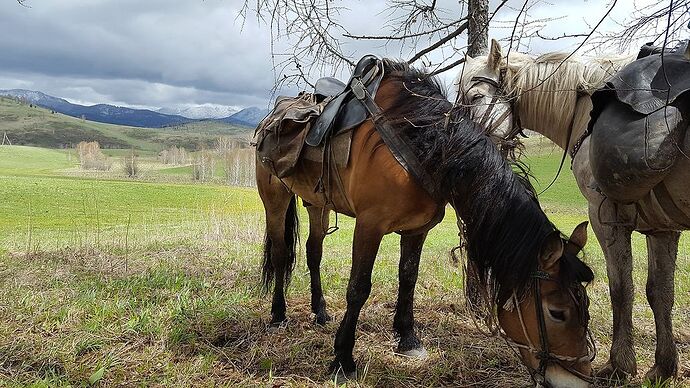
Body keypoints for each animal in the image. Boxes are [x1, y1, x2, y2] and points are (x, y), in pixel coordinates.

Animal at [258, 59, 596, 386]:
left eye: (586, 306)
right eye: (557, 313)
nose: (576, 381)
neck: (426, 144)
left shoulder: (417, 230)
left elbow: (408, 278)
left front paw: (408, 339)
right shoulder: (369, 226)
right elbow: (358, 288)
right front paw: (342, 359)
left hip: (318, 204)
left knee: (313, 251)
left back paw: (320, 311)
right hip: (274, 198)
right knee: (280, 253)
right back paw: (277, 315)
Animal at [456, 38, 688, 382]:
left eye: (475, 98)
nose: (463, 145)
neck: (586, 110)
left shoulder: (606, 219)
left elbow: (622, 290)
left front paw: (619, 365)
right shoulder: (661, 227)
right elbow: (660, 293)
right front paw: (662, 367)